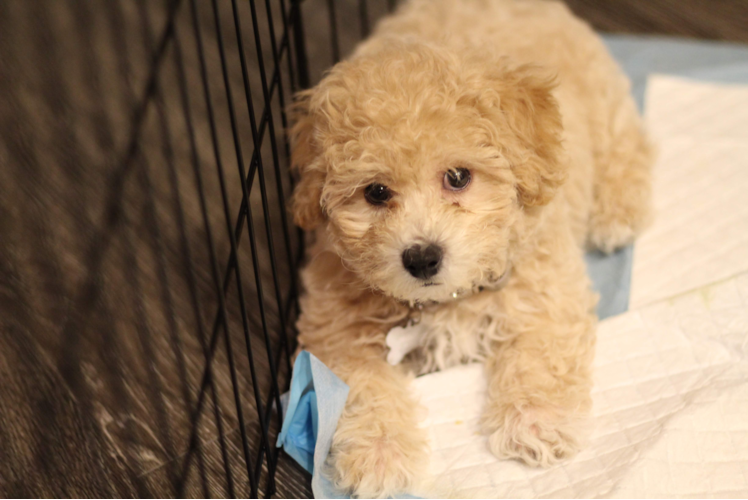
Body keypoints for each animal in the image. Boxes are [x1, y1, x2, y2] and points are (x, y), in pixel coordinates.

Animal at [290, 0, 652, 496]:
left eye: (458, 177)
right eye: (376, 192)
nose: (422, 257)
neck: (449, 301)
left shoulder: (545, 287)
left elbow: (538, 350)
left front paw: (535, 420)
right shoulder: (333, 325)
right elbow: (361, 382)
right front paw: (379, 454)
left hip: (600, 100)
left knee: (627, 141)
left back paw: (619, 208)